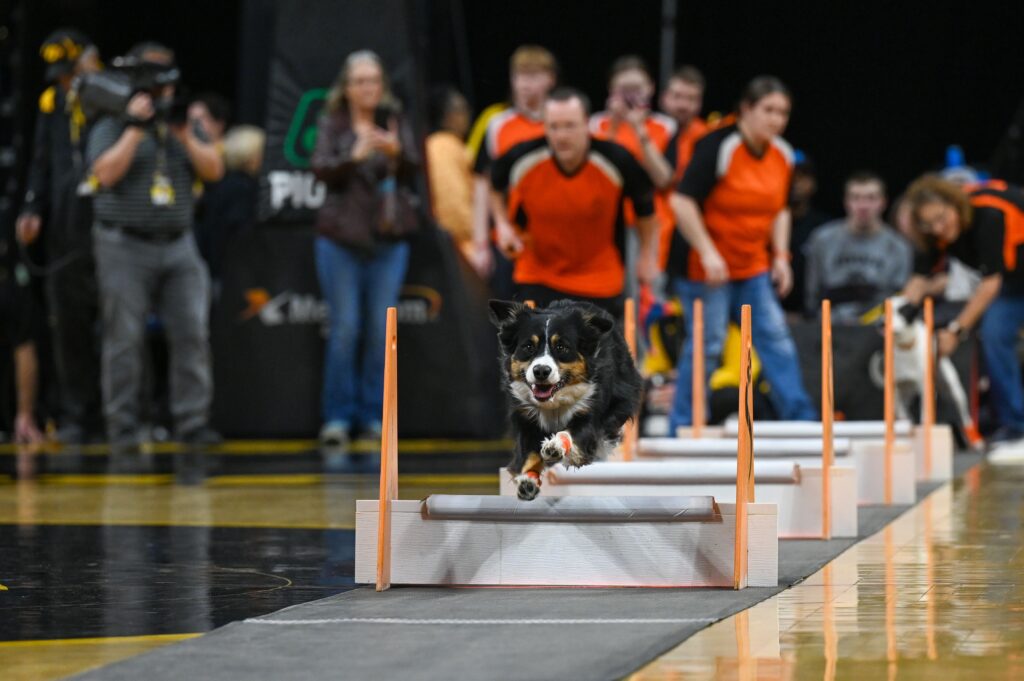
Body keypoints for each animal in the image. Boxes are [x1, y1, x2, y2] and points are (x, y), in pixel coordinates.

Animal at [487, 299, 638, 499]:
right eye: (528, 347)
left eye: (561, 347)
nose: (541, 371)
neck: (553, 402)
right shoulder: (526, 419)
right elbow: (527, 455)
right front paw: (528, 481)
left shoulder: (589, 410)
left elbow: (573, 433)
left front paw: (555, 446)